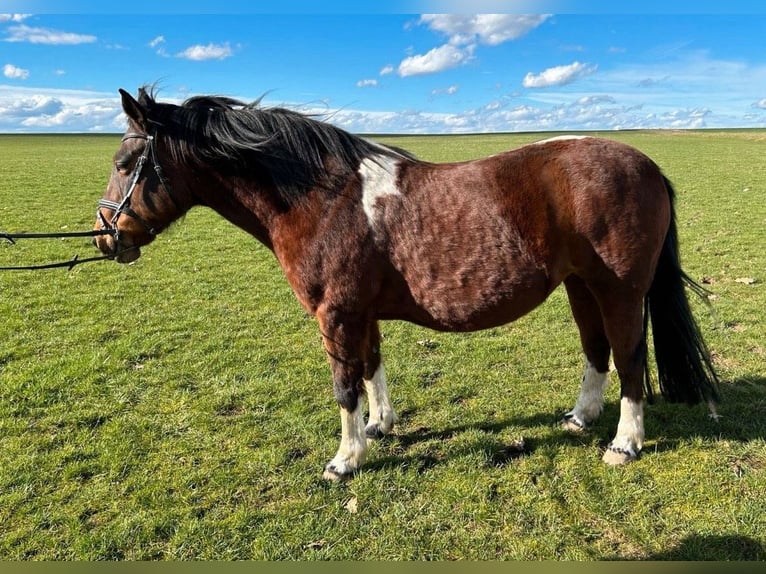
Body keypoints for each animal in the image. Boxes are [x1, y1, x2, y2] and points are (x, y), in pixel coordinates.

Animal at [94, 86, 720, 482]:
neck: (323, 199)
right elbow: (371, 368)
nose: (105, 236)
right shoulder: (360, 312)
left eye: (125, 163)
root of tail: (646, 165)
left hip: (619, 291)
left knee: (630, 358)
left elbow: (345, 384)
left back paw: (624, 444)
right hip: (580, 287)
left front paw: (345, 459)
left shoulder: (336, 314)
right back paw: (580, 418)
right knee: (597, 351)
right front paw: (380, 427)